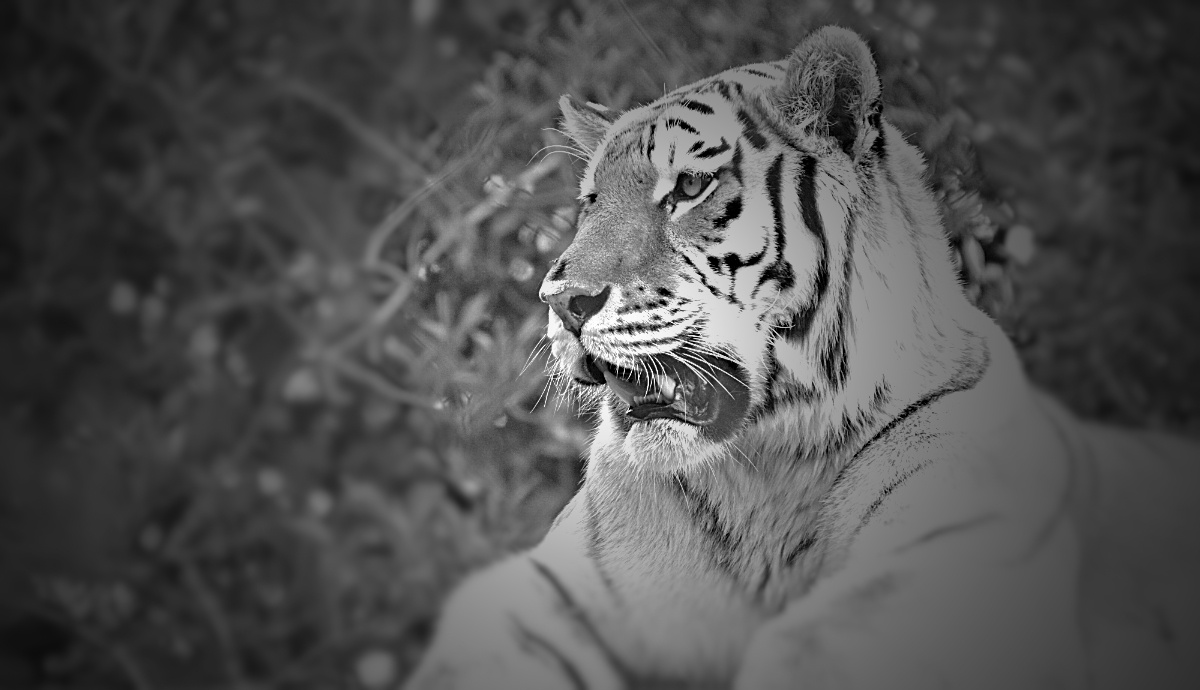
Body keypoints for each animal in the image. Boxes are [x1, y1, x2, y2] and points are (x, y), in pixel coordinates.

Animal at [404, 26, 1200, 690]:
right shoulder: (552, 589)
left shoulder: (930, 573)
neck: (765, 467)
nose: (561, 298)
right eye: (590, 202)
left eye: (687, 187)